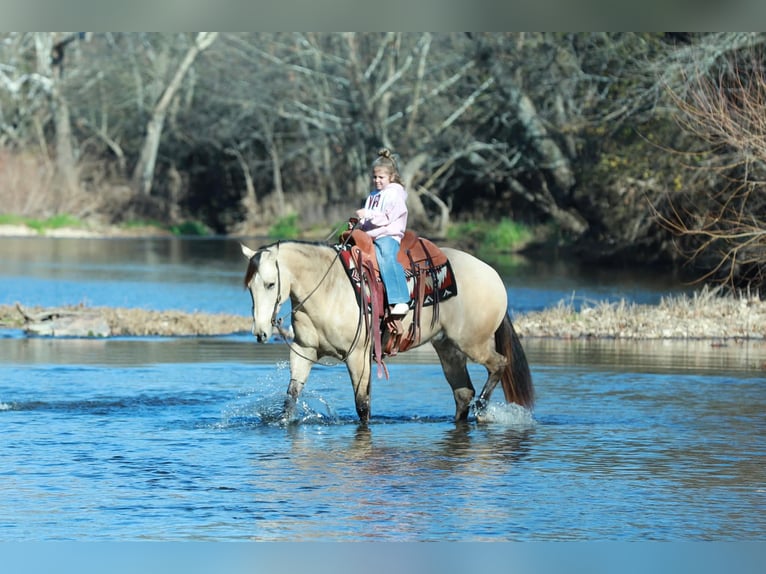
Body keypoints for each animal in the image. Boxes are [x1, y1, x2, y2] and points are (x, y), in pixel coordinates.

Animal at [240, 239, 533, 423]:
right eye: (250, 287)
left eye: (270, 284)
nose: (260, 332)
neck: (329, 288)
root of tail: (493, 274)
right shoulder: (304, 351)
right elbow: (290, 397)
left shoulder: (358, 356)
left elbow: (363, 406)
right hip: (448, 348)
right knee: (463, 393)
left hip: (473, 343)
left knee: (499, 364)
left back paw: (482, 410)